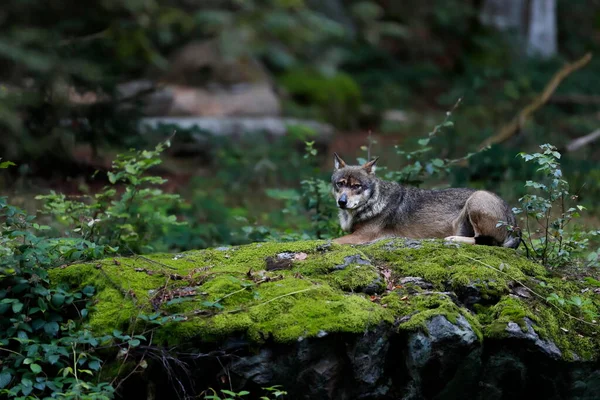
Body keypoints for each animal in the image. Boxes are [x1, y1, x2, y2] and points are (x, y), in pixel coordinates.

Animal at [332, 152, 520, 247]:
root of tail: (514, 220)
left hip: (477, 197)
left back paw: (452, 239)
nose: (342, 202)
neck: (372, 203)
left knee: (488, 242)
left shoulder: (361, 236)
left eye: (356, 186)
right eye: (340, 184)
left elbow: (331, 241)